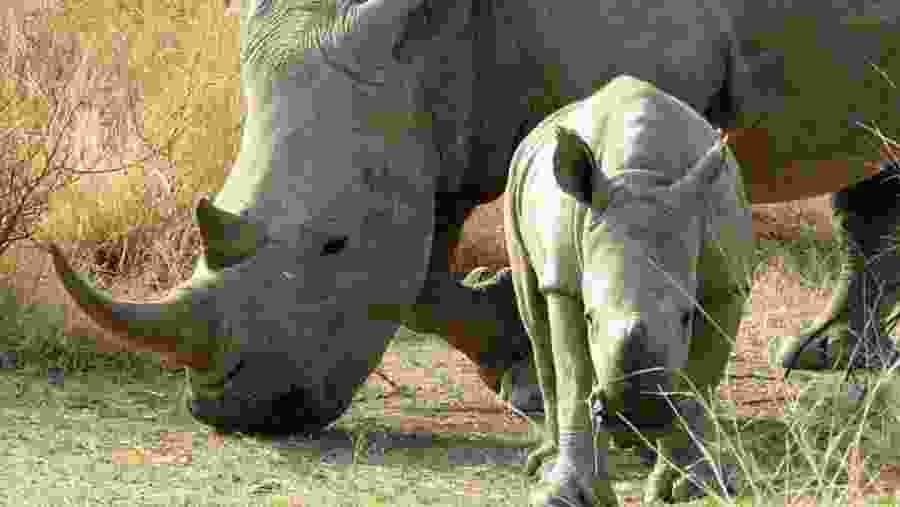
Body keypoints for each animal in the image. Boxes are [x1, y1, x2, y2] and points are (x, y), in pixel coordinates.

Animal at [47, 0, 900, 437]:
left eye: (335, 243)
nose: (235, 413)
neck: (432, 34)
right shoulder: (433, 114)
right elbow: (422, 273)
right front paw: (520, 371)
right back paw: (831, 358)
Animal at [505, 75, 751, 506]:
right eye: (590, 318)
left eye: (687, 317)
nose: (636, 414)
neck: (642, 176)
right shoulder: (565, 283)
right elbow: (574, 378)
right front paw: (567, 492)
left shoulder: (727, 285)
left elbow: (701, 386)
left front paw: (693, 487)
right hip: (515, 187)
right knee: (536, 323)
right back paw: (544, 463)